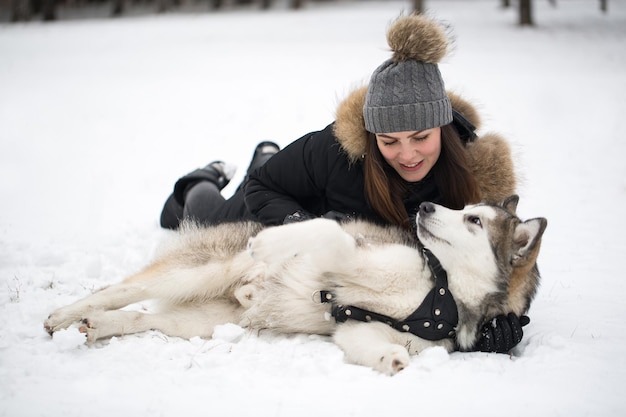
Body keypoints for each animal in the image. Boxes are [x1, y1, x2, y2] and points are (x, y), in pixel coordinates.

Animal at [44, 197, 544, 376]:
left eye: (473, 220)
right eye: (463, 208)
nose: (424, 205)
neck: (442, 290)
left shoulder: (358, 325)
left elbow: (370, 343)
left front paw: (391, 361)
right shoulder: (354, 254)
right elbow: (327, 230)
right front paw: (272, 243)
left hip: (200, 322)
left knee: (137, 316)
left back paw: (97, 325)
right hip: (197, 271)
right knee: (116, 290)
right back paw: (64, 315)